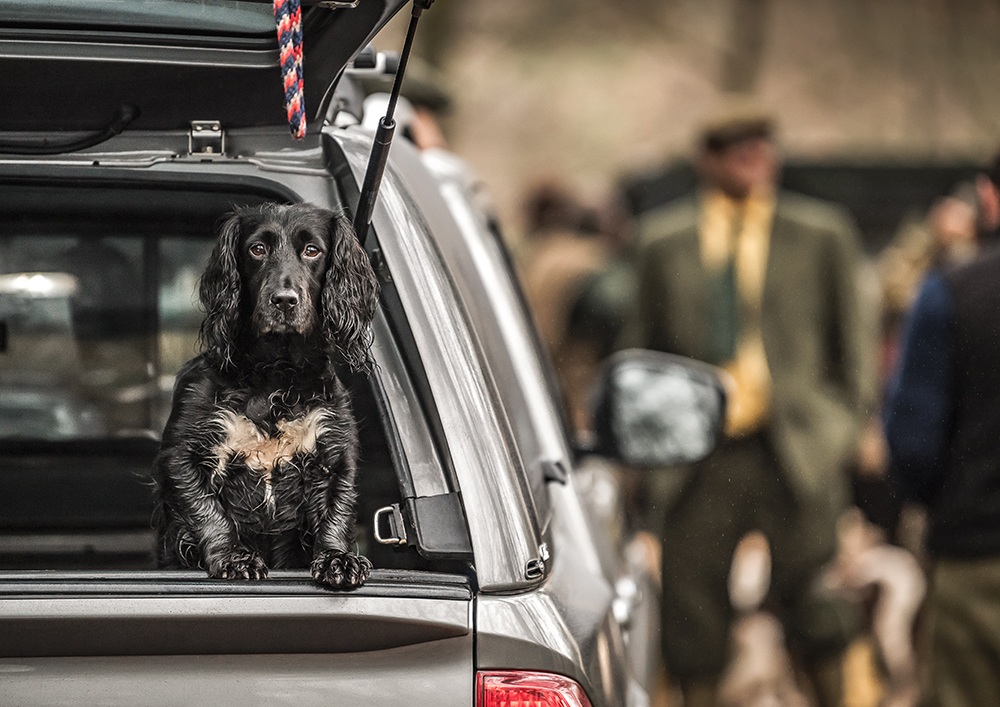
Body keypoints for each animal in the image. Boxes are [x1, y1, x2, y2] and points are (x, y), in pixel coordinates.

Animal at [152, 202, 378, 588]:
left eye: (312, 250)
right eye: (257, 249)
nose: (284, 301)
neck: (275, 371)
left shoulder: (333, 452)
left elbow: (335, 513)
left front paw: (338, 560)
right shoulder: (183, 455)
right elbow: (208, 510)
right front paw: (234, 556)